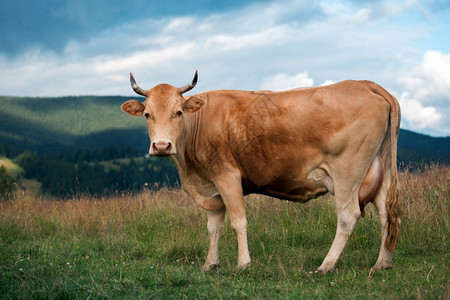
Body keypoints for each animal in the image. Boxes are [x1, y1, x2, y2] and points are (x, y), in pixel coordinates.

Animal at [122, 71, 400, 274]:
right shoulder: (211, 184)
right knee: (386, 215)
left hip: (347, 173)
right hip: (381, 169)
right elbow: (213, 227)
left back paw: (326, 265)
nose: (161, 146)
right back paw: (382, 263)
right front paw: (210, 264)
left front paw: (243, 263)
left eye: (178, 112)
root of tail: (366, 84)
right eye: (147, 114)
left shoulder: (226, 176)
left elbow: (238, 221)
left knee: (347, 215)